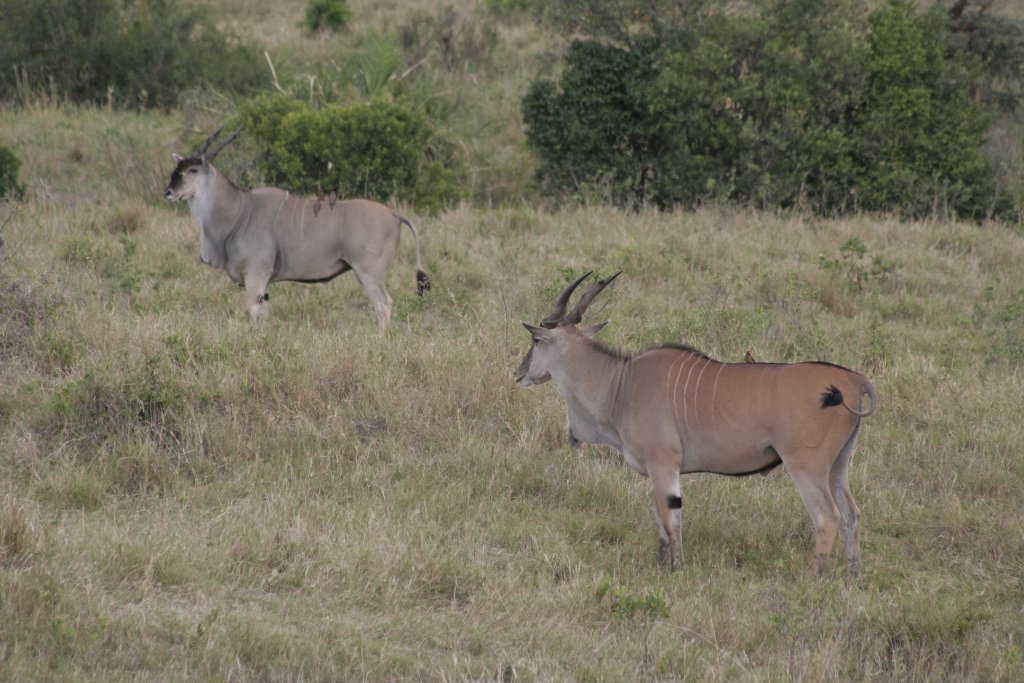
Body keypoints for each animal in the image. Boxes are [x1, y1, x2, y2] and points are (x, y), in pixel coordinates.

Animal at [160, 129, 432, 331]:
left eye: (192, 170)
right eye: (177, 169)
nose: (168, 192)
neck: (239, 211)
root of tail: (393, 214)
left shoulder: (255, 276)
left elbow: (249, 311)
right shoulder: (263, 285)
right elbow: (262, 313)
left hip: (369, 273)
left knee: (383, 305)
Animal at [516, 272, 876, 577]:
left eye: (535, 342)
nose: (519, 373)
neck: (620, 383)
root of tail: (854, 381)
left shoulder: (663, 464)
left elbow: (669, 518)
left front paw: (676, 569)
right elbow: (665, 519)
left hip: (805, 465)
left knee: (828, 516)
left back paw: (814, 577)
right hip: (838, 464)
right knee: (852, 514)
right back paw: (852, 576)